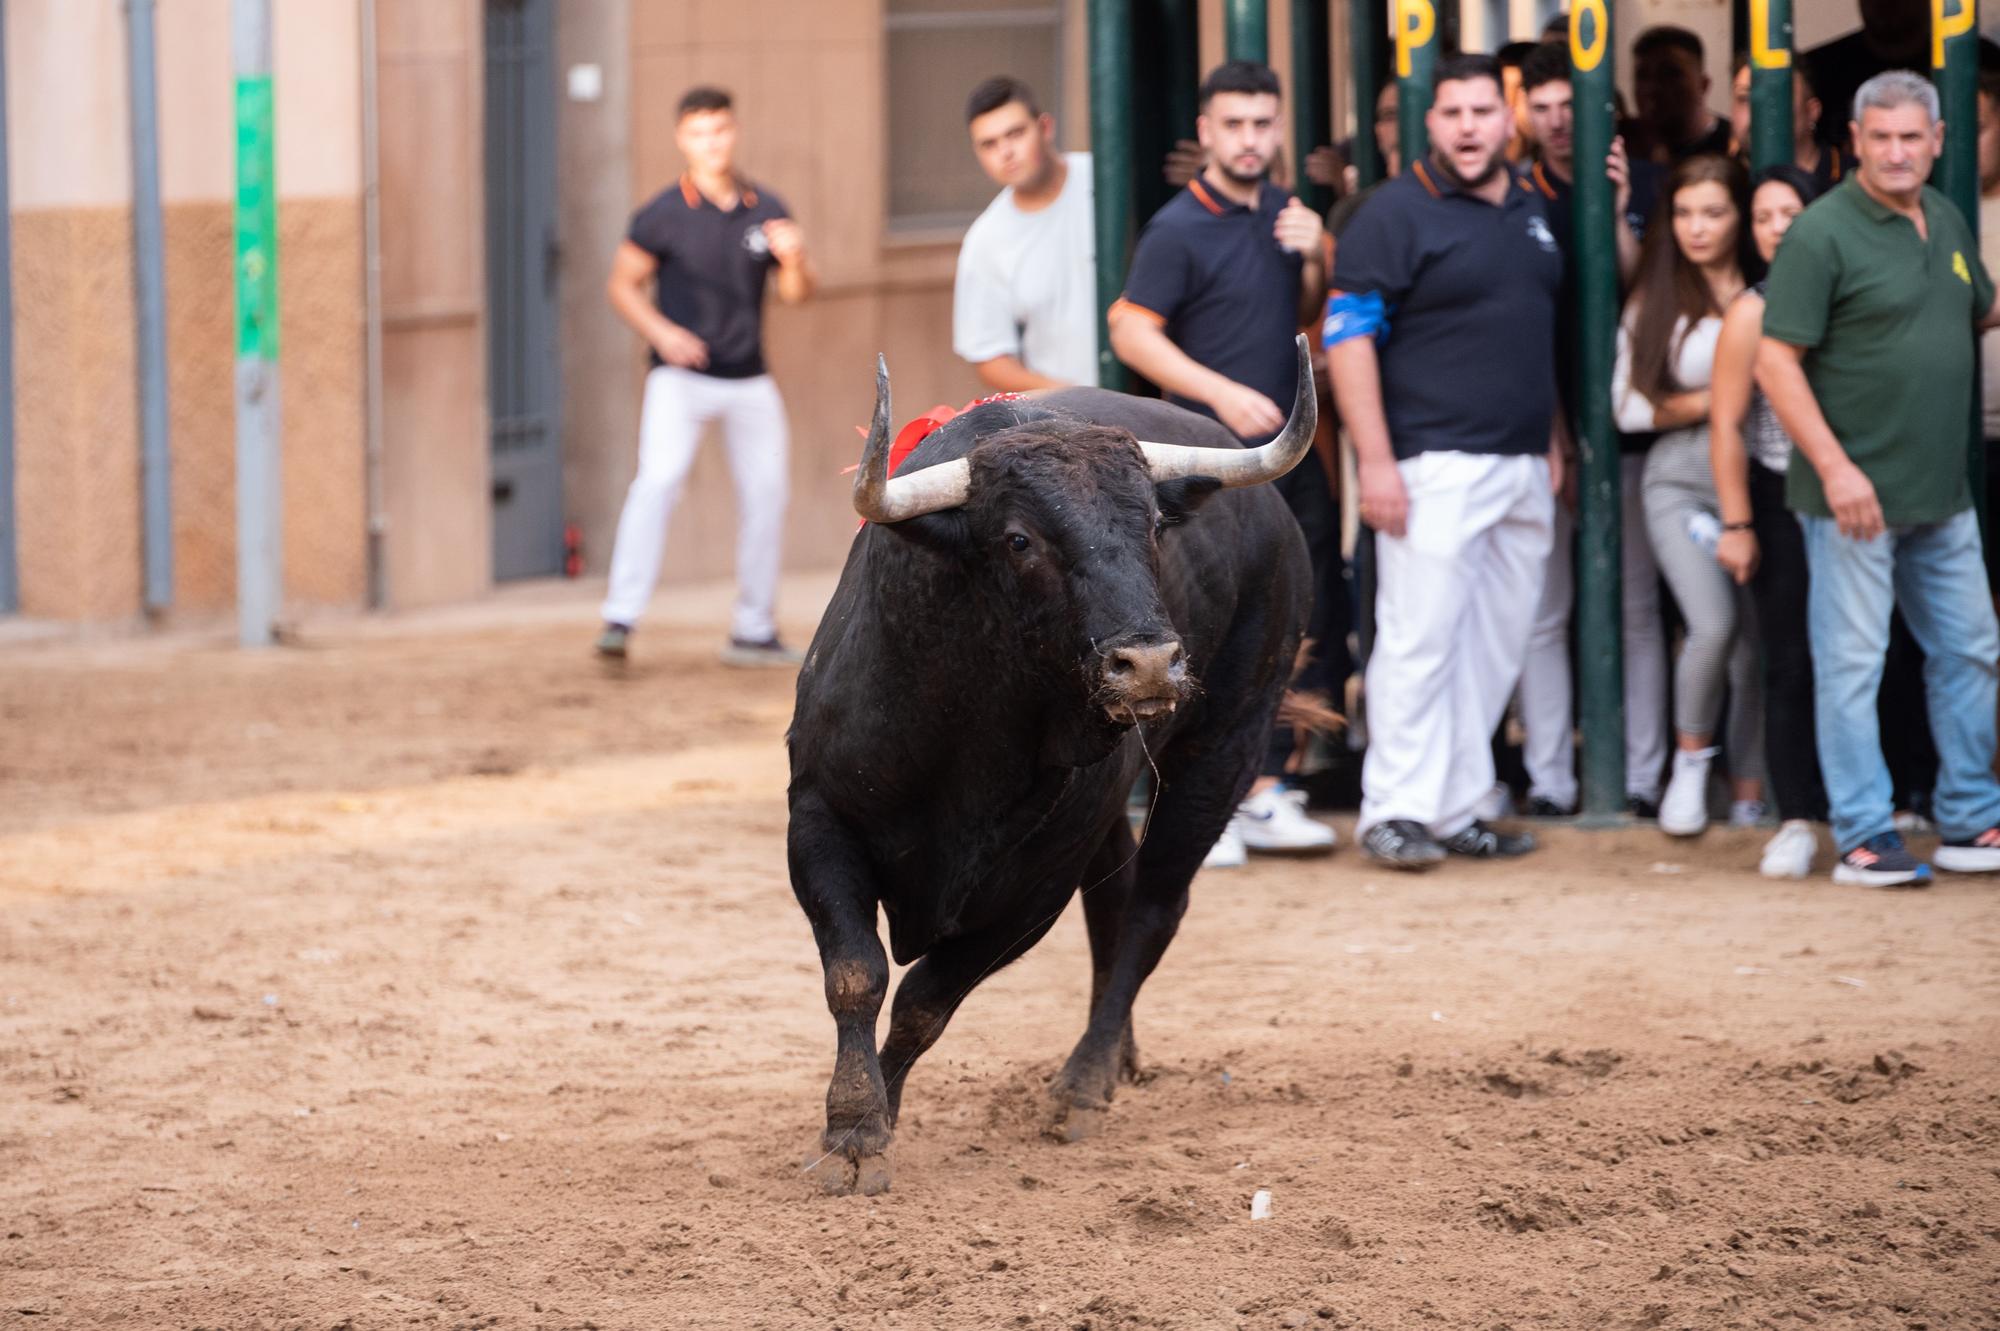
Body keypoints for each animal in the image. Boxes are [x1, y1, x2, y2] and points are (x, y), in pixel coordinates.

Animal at [788, 347, 1320, 1183]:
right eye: (1018, 539)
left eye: (1154, 526)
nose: (1151, 664)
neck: (963, 740)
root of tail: (1276, 517)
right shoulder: (818, 821)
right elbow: (857, 974)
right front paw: (852, 1125)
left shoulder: (1034, 890)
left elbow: (923, 1003)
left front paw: (873, 1122)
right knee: (1118, 904)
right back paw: (1118, 1055)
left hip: (1224, 751)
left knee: (1151, 910)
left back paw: (1085, 1081)